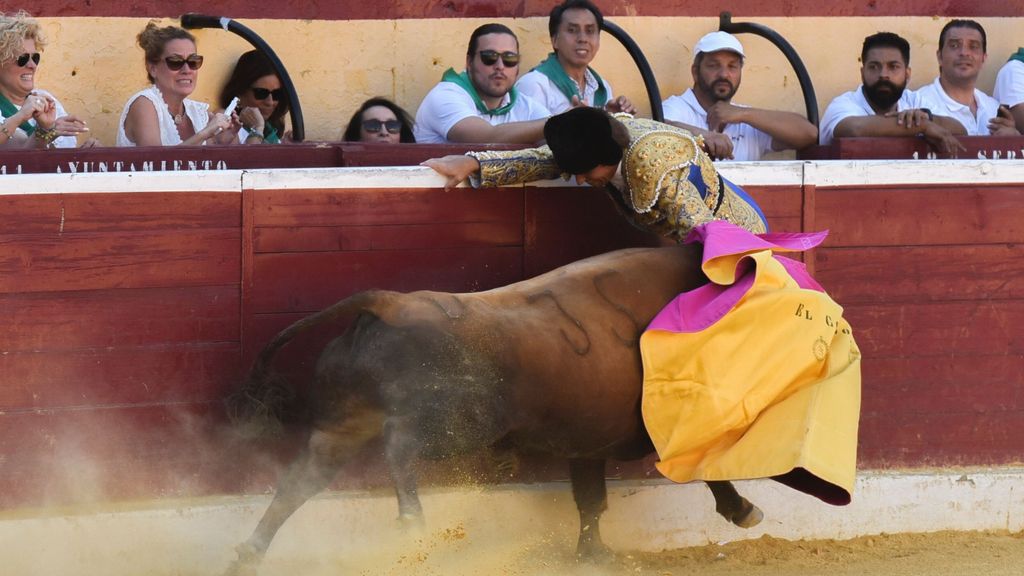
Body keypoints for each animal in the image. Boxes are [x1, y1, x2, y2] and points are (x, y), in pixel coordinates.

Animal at [228, 239, 765, 569]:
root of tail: (389, 302)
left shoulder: (587, 444)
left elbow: (591, 499)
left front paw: (593, 556)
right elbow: (713, 470)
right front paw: (744, 511)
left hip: (341, 425)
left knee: (299, 482)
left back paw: (247, 555)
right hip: (457, 424)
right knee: (398, 446)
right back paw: (412, 519)